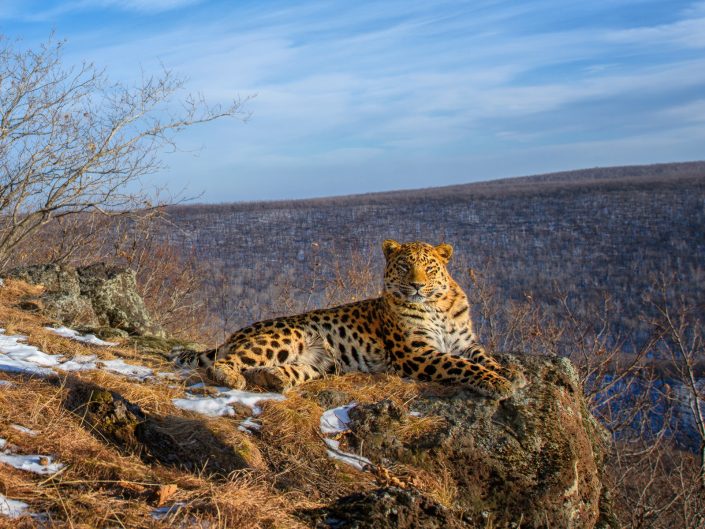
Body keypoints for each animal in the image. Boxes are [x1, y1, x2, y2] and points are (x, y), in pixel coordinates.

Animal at [174, 239, 524, 398]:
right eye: (404, 266)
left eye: (428, 267)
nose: (416, 285)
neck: (438, 305)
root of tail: (234, 334)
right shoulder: (417, 352)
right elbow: (460, 366)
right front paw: (497, 383)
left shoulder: (465, 342)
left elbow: (482, 357)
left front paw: (511, 373)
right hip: (289, 336)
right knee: (225, 362)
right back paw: (232, 377)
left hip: (322, 362)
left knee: (285, 370)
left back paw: (275, 378)